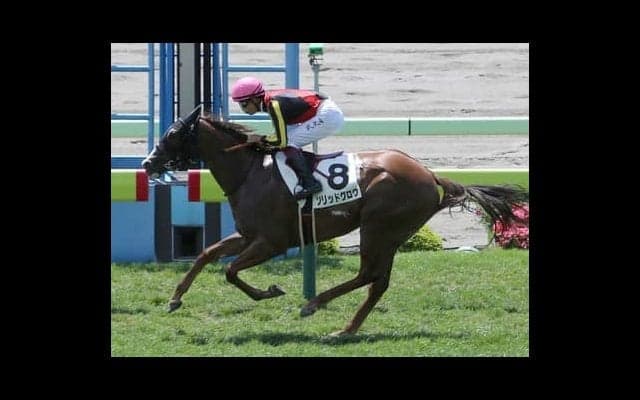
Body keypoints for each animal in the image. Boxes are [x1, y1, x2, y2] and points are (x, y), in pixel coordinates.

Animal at [141, 106, 529, 337]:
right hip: (391, 234)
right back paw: (346, 328)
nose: (147, 163)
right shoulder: (248, 234)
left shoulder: (272, 241)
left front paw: (270, 291)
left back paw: (315, 304)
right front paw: (174, 299)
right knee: (377, 282)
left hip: (378, 227)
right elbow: (207, 254)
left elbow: (230, 270)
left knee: (369, 275)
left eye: (172, 134)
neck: (250, 172)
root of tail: (432, 176)